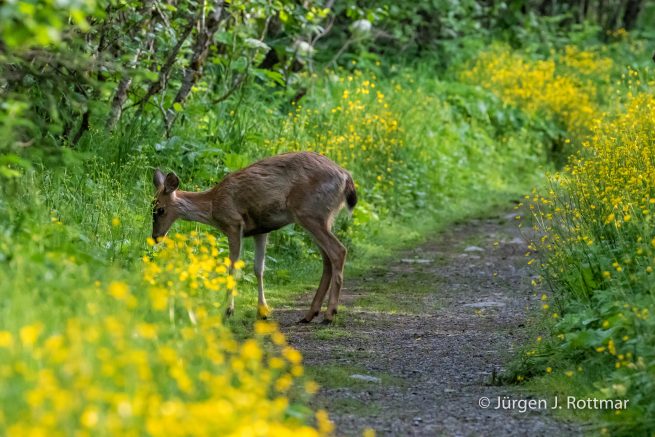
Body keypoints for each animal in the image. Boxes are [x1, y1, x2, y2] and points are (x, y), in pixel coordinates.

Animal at [152, 151, 357, 324]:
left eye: (160, 210)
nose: (155, 237)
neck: (212, 206)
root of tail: (346, 177)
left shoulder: (233, 224)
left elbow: (233, 267)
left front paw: (228, 311)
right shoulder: (261, 230)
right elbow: (259, 269)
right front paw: (263, 311)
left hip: (309, 213)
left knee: (338, 251)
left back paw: (329, 314)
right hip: (322, 218)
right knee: (327, 259)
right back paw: (310, 314)